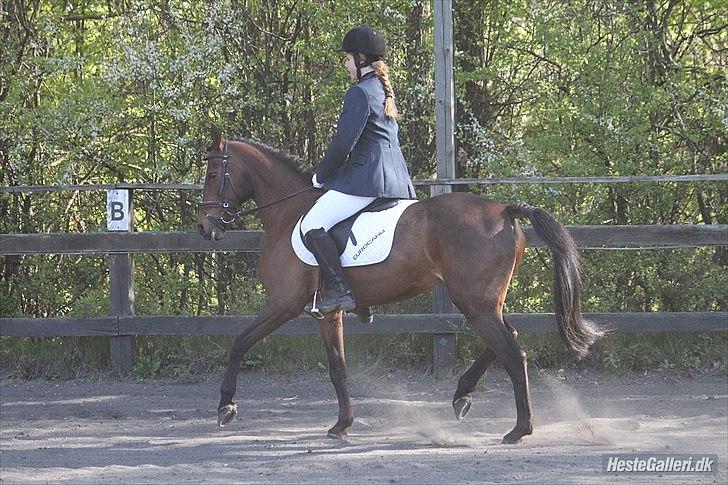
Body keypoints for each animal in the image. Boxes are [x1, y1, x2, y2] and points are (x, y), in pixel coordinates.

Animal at [197, 127, 603, 444]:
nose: (205, 227)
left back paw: (518, 429)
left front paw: (225, 406)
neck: (288, 215)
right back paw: (462, 396)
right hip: (484, 302)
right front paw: (342, 424)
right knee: (509, 339)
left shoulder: (283, 304)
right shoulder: (327, 314)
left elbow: (240, 343)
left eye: (213, 173)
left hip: (474, 303)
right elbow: (337, 367)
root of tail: (503, 210)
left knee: (513, 353)